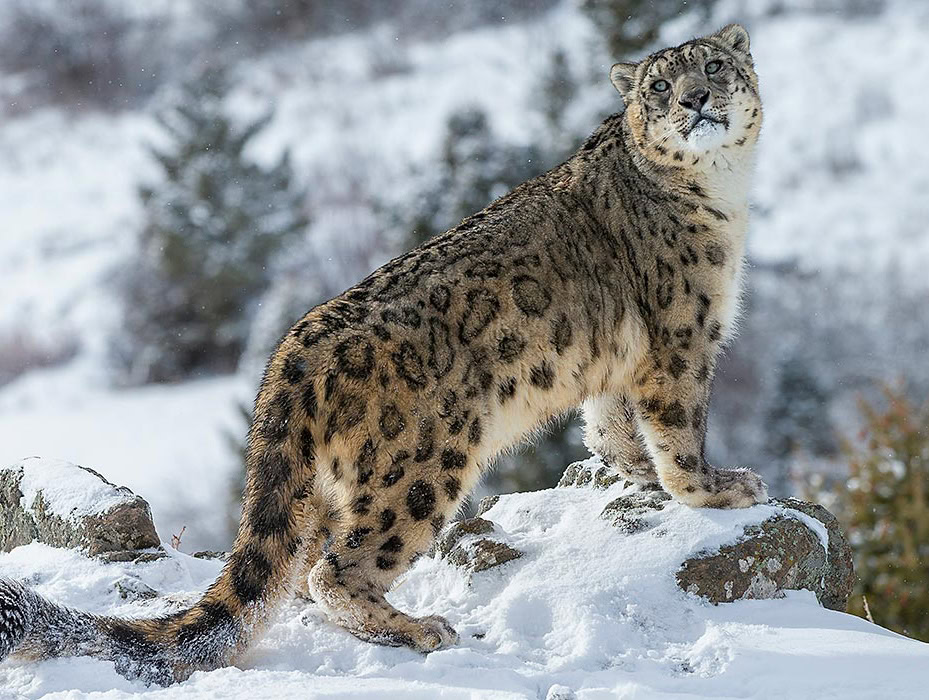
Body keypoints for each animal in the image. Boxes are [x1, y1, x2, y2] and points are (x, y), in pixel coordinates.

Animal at [0, 26, 768, 684]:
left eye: (712, 66)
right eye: (659, 86)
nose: (695, 101)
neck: (724, 192)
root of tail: (292, 352)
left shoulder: (618, 360)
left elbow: (611, 425)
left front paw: (632, 477)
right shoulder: (681, 338)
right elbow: (678, 426)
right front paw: (717, 488)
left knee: (301, 566)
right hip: (420, 467)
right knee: (334, 571)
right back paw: (419, 627)